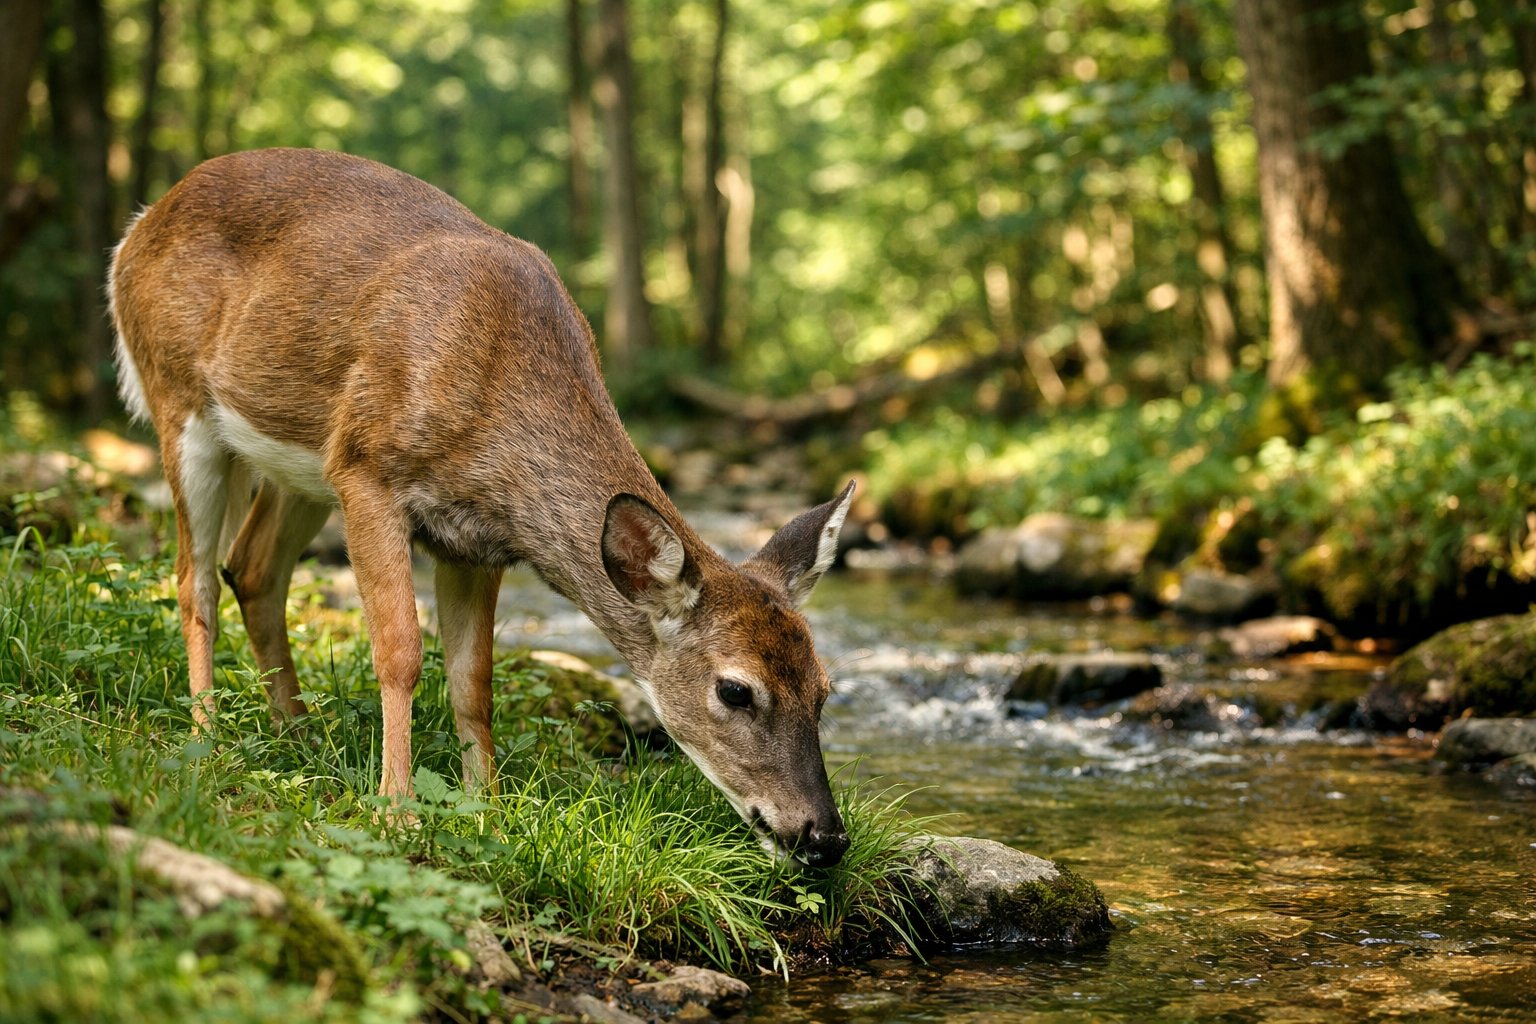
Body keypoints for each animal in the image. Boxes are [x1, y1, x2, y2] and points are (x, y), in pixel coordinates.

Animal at [108, 148, 854, 868]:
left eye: (823, 689)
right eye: (736, 690)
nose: (824, 837)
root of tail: (136, 229)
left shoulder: (476, 539)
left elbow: (474, 679)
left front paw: (485, 808)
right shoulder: (367, 469)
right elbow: (401, 651)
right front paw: (398, 812)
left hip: (298, 465)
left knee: (254, 568)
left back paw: (299, 734)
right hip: (180, 400)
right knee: (194, 578)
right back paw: (208, 739)